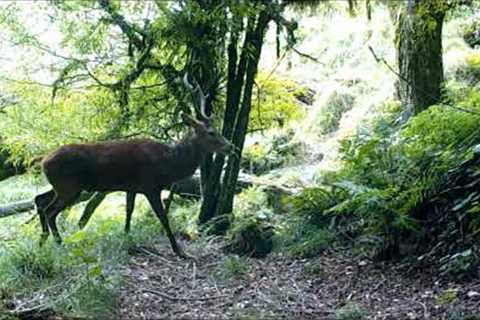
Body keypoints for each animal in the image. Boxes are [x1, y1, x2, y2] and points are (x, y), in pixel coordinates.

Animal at [33, 74, 232, 258]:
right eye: (211, 132)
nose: (231, 146)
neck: (167, 163)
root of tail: (43, 161)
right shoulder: (150, 186)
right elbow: (163, 217)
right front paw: (179, 251)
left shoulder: (132, 187)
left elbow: (129, 212)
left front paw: (126, 237)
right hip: (69, 187)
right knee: (50, 211)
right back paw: (60, 244)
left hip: (62, 186)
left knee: (40, 200)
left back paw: (42, 242)